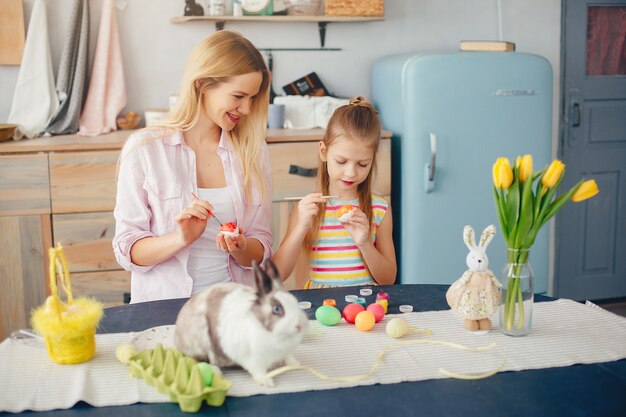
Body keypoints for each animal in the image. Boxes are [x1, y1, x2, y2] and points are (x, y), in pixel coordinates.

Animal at [173, 258, 308, 386]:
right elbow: (258, 371)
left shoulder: (286, 352)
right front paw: (267, 382)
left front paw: (297, 365)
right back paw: (216, 371)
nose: (299, 325)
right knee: (193, 360)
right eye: (277, 309)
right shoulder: (252, 359)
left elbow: (288, 358)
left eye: (294, 301)